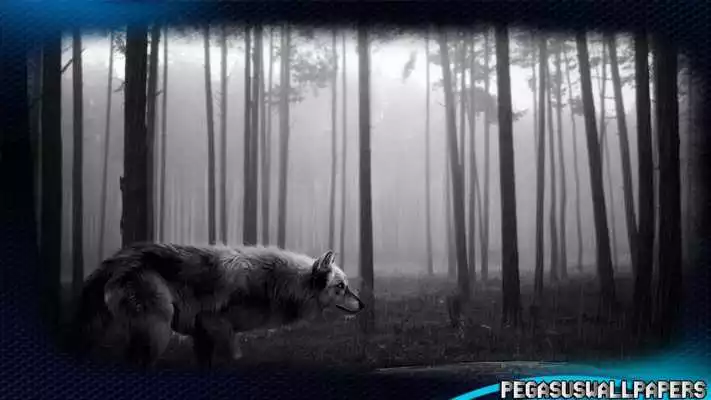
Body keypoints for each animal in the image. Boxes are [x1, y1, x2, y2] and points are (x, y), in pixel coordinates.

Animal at [73, 242, 365, 368]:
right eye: (341, 287)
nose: (363, 305)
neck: (275, 282)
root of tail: (116, 259)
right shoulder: (218, 327)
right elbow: (232, 359)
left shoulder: (203, 335)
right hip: (158, 332)